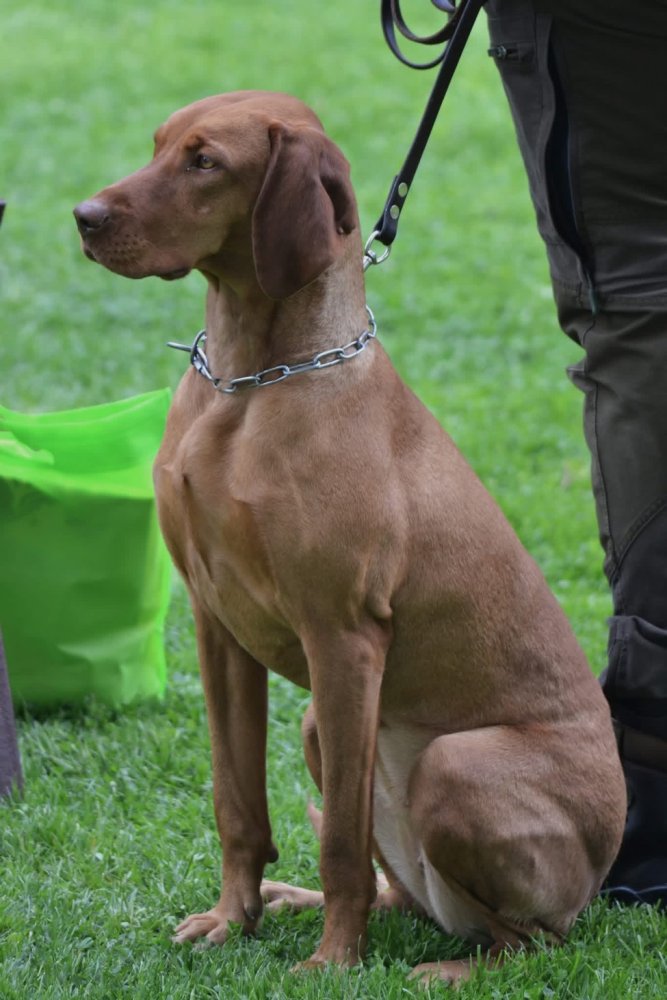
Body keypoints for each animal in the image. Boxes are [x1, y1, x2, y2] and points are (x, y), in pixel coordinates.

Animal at [74, 91, 626, 984]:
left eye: (205, 162)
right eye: (158, 144)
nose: (83, 218)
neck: (247, 386)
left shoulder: (342, 636)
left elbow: (335, 839)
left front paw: (334, 961)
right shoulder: (215, 624)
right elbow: (236, 803)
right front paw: (234, 917)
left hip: (457, 766)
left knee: (532, 941)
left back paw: (446, 969)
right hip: (324, 736)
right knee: (409, 895)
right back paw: (298, 902)